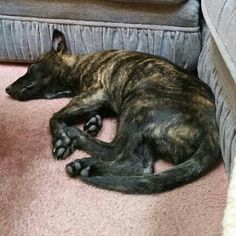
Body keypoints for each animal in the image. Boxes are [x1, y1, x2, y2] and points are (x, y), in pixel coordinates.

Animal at [5, 29, 220, 194]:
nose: (6, 89)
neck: (77, 65)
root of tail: (211, 130)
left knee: (117, 149)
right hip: (145, 137)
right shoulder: (95, 101)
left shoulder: (95, 91)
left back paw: (79, 144)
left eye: (31, 67)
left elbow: (54, 116)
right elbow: (90, 114)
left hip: (137, 103)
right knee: (140, 166)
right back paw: (88, 165)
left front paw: (63, 140)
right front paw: (92, 123)